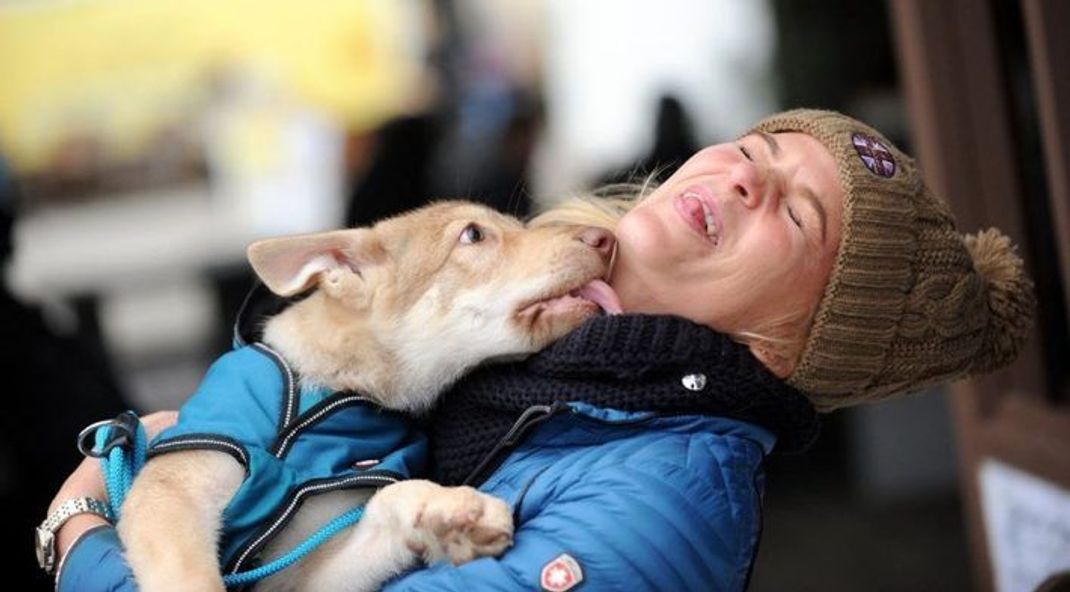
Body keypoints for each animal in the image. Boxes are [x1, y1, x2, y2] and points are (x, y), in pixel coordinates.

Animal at [116, 201, 620, 586]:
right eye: (473, 234)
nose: (607, 238)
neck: (332, 391)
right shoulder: (174, 487)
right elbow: (191, 577)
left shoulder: (298, 576)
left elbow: (387, 502)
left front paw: (451, 509)